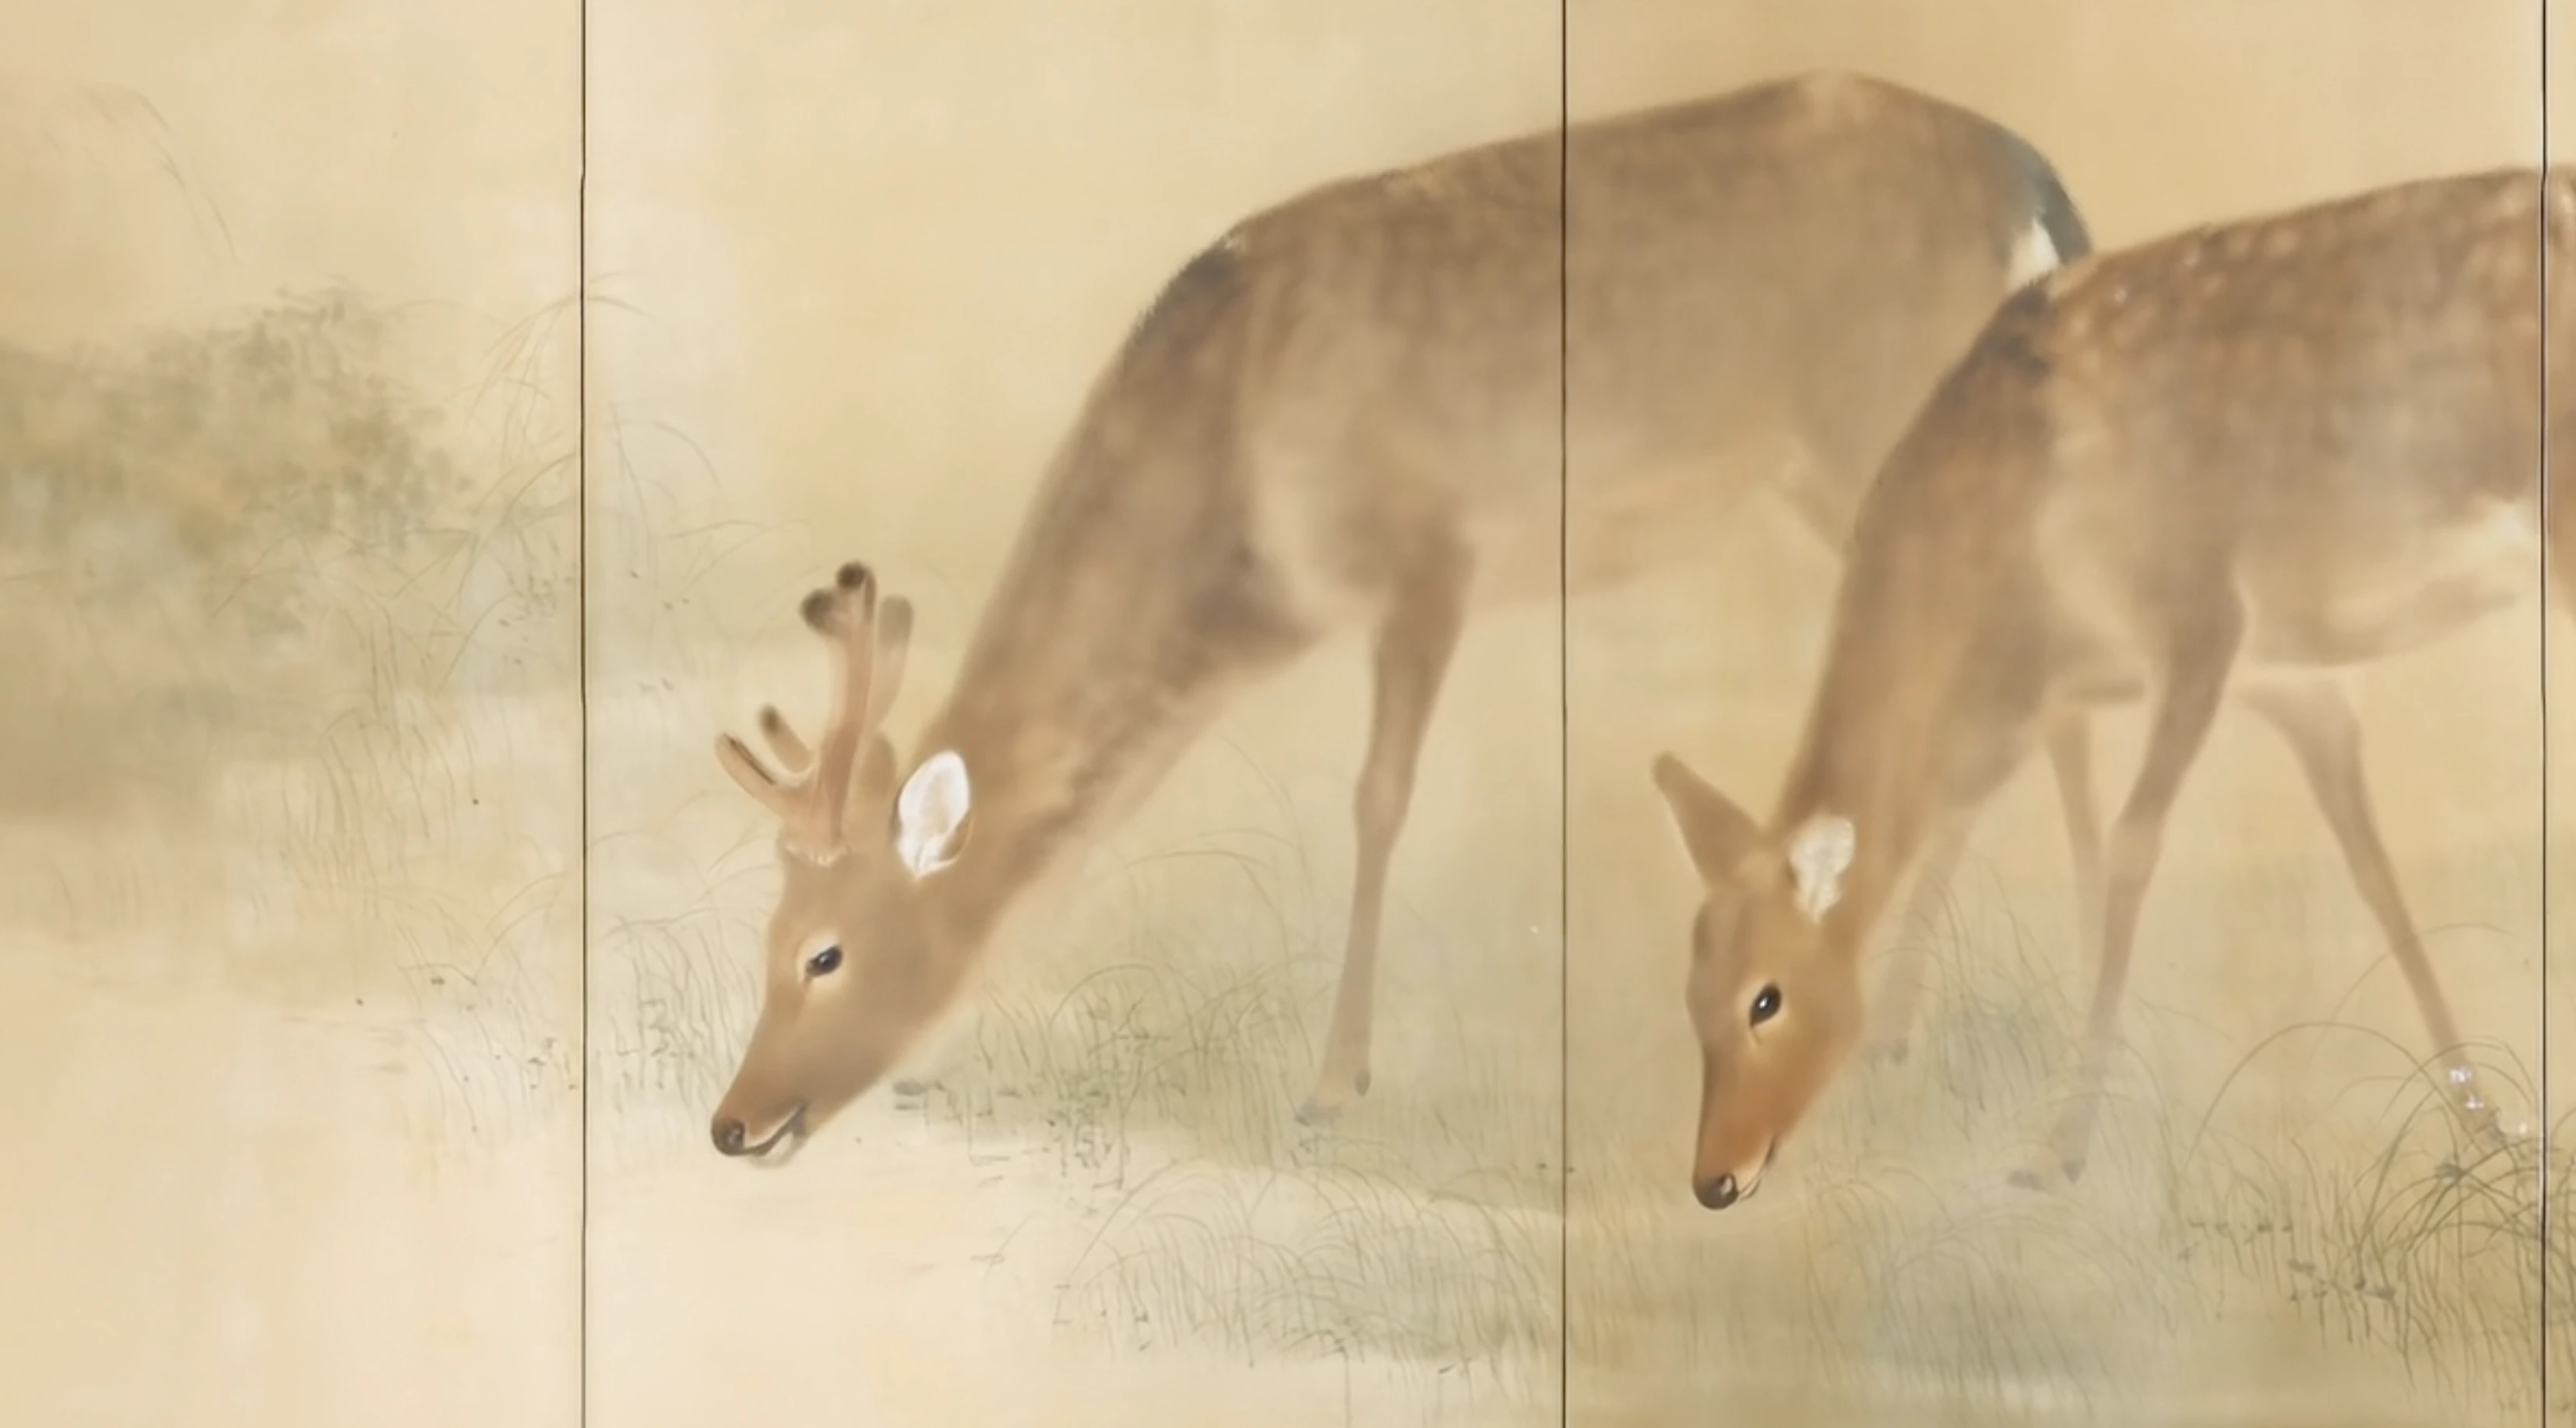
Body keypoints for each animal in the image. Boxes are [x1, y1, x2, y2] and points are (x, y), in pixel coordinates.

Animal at [701, 69, 2103, 1160]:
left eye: (823, 951)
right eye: (760, 934)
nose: (733, 1119)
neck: (1238, 528)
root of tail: (2037, 193)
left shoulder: (1428, 554)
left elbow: (1378, 800)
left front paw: (1332, 1081)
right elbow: (1099, 828)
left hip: (1887, 434)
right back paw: (1908, 1025)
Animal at [1649, 163, 2569, 1211]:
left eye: (1763, 997)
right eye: (1687, 993)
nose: (1713, 1178)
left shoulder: (2195, 615)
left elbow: (2127, 844)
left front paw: (2056, 1146)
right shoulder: (2286, 683)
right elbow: (2365, 867)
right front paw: (2492, 1125)